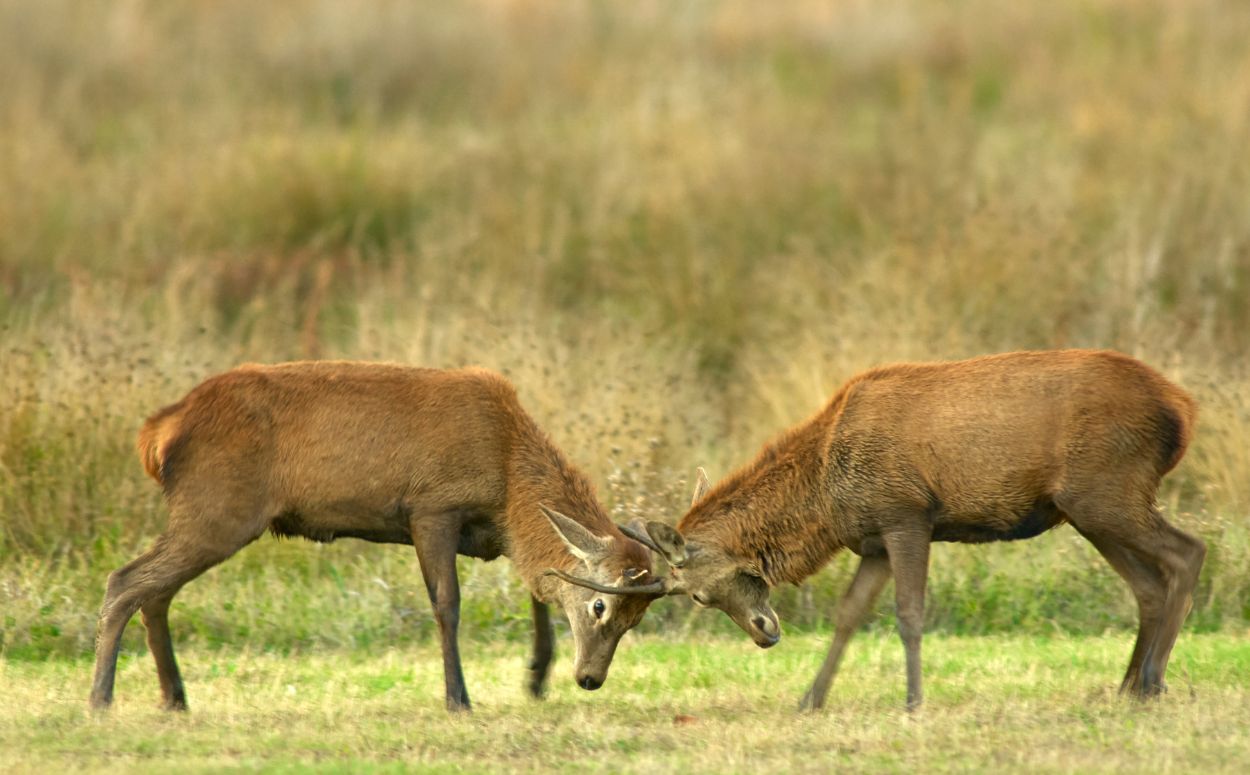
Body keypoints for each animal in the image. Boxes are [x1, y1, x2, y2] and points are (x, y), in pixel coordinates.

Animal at [85, 362, 665, 715]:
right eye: (600, 607)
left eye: (636, 619)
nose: (590, 679)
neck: (505, 481)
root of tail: (158, 434)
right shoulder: (432, 506)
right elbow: (447, 604)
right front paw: (458, 697)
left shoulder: (492, 534)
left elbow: (537, 586)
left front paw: (536, 677)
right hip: (217, 510)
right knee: (125, 580)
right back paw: (101, 698)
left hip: (206, 516)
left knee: (155, 592)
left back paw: (174, 697)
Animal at [555, 350, 1200, 710]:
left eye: (700, 595)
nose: (765, 634)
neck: (826, 494)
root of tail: (1184, 409)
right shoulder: (871, 540)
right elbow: (848, 615)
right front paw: (810, 698)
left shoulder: (906, 514)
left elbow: (909, 613)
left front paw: (913, 700)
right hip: (1089, 510)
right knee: (1146, 584)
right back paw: (1129, 684)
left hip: (1107, 491)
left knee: (1188, 552)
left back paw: (1153, 679)